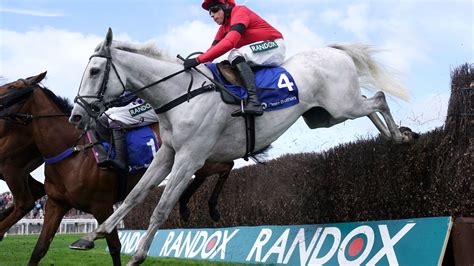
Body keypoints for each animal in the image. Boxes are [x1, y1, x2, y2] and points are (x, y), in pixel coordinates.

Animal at [0, 71, 233, 264]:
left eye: (12, 87)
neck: (74, 151)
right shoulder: (56, 204)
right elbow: (39, 249)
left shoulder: (102, 206)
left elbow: (115, 247)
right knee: (209, 172)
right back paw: (185, 205)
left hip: (200, 156)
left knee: (226, 166)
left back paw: (210, 207)